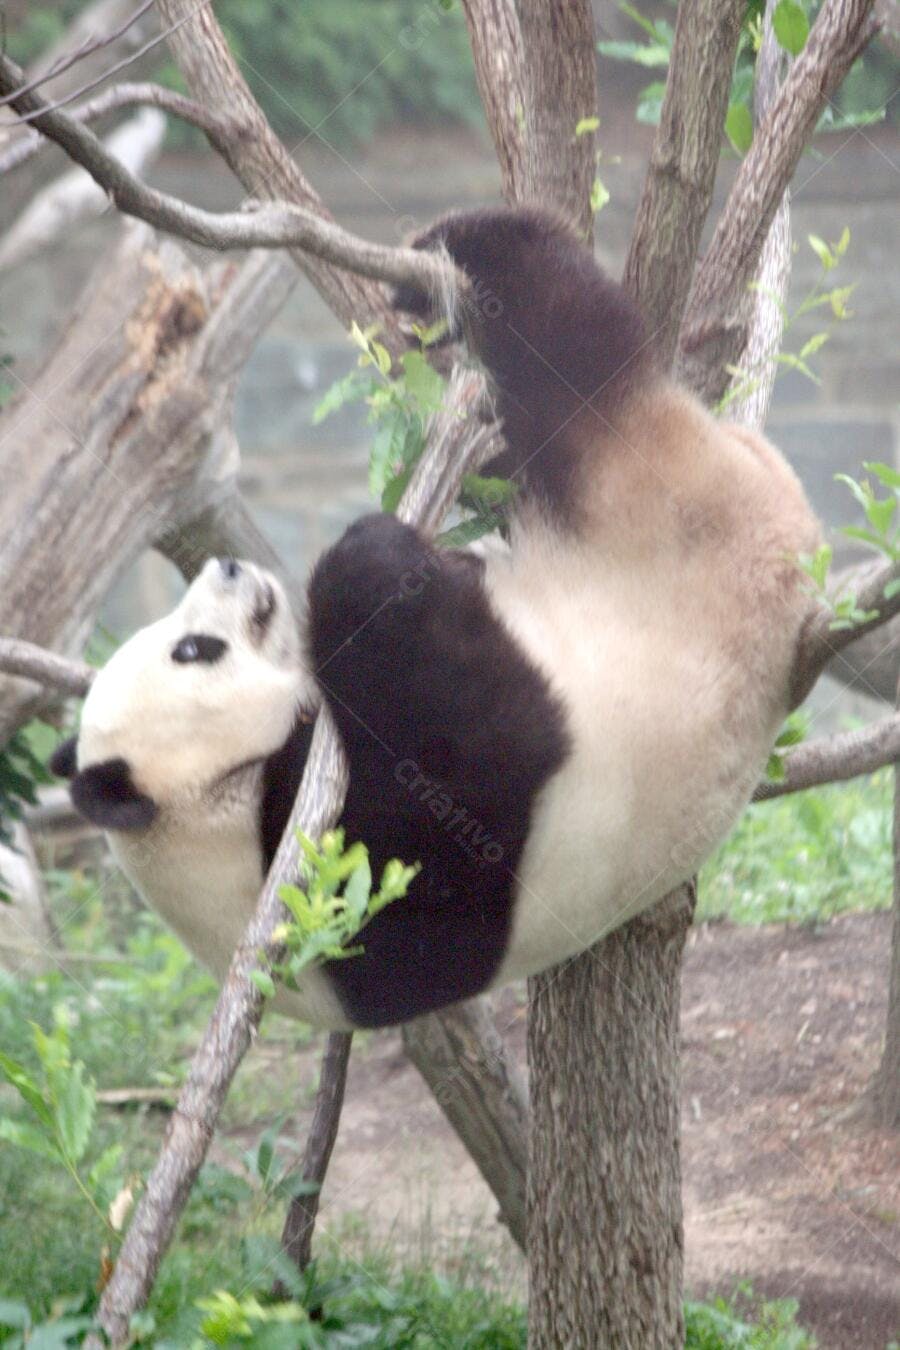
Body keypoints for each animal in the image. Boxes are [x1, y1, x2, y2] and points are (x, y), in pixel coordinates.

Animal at [51, 206, 822, 1031]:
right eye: (194, 650)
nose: (226, 568)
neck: (218, 810)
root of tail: (782, 512)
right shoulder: (354, 892)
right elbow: (485, 748)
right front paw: (368, 563)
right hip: (658, 498)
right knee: (575, 361)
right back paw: (489, 259)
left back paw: (442, 264)